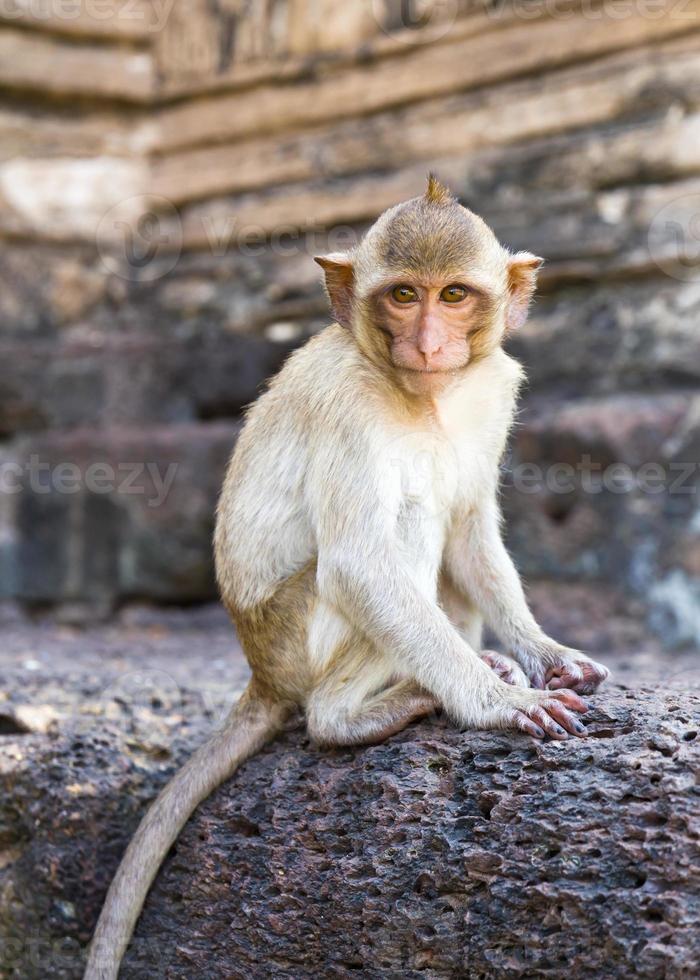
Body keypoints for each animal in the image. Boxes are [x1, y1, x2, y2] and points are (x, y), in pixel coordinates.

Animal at [85, 178, 608, 980]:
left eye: (454, 294)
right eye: (403, 295)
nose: (426, 342)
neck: (425, 397)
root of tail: (262, 671)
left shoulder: (492, 392)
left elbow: (470, 529)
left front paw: (547, 655)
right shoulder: (348, 405)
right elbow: (363, 560)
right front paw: (498, 704)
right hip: (298, 631)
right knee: (403, 532)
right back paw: (365, 710)